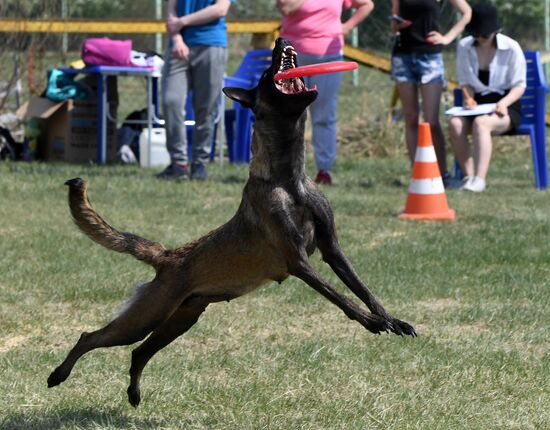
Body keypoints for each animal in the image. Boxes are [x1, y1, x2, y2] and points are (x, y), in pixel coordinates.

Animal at [48, 37, 418, 406]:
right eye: (267, 74)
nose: (281, 40)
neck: (288, 180)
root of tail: (168, 256)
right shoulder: (298, 261)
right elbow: (341, 296)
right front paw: (370, 322)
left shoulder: (333, 251)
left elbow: (362, 288)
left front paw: (391, 319)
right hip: (147, 316)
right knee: (91, 337)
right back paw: (58, 375)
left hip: (181, 318)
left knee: (138, 352)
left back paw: (134, 393)